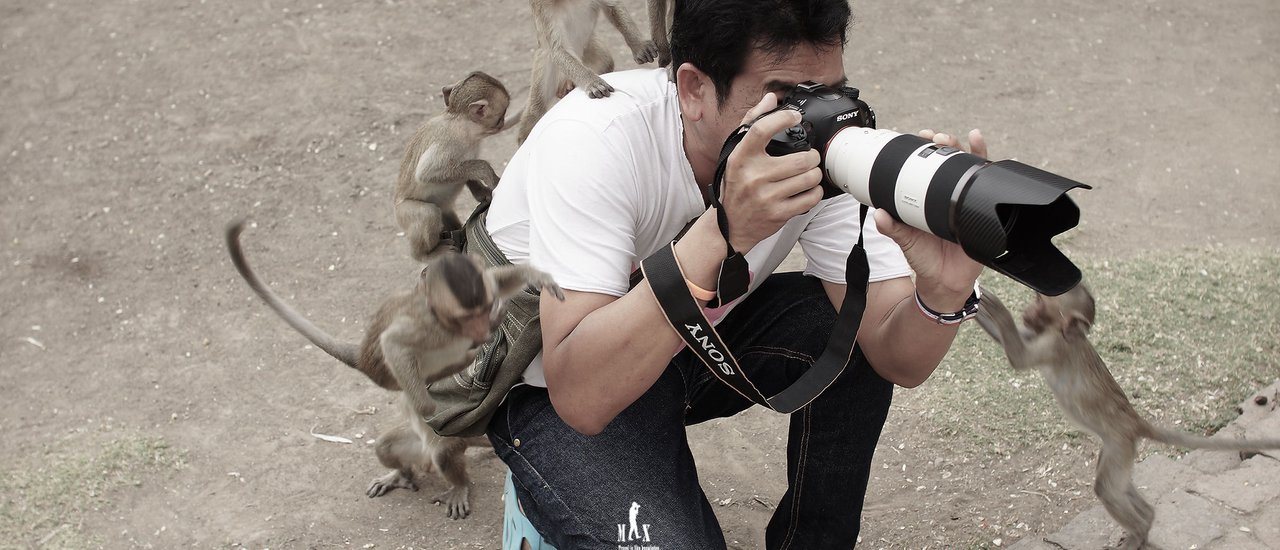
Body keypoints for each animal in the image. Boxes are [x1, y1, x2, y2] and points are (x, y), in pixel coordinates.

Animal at [225, 220, 566, 519]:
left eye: (484, 309)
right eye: (469, 316)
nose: (484, 328)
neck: (443, 318)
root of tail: (363, 357)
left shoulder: (483, 290)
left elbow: (499, 280)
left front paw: (536, 274)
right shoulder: (429, 327)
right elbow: (394, 344)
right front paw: (427, 405)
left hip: (444, 445)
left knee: (443, 454)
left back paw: (458, 483)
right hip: (413, 442)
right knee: (387, 446)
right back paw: (402, 472)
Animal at [395, 71, 511, 262]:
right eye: (501, 115)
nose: (503, 123)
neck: (461, 124)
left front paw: (481, 192)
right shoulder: (448, 142)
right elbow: (426, 173)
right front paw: (487, 173)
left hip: (446, 212)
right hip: (403, 214)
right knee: (427, 214)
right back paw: (425, 255)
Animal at [517, 0, 661, 143]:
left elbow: (612, 6)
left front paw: (638, 44)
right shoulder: (541, 8)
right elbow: (559, 49)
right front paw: (592, 82)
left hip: (589, 46)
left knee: (606, 62)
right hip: (545, 61)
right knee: (534, 111)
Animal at [975, 283, 1280, 549]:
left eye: (1040, 302)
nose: (1027, 310)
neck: (1064, 333)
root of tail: (1135, 422)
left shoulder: (1054, 345)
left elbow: (1018, 358)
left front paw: (995, 307)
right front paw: (976, 310)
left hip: (1119, 445)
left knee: (1107, 488)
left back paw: (1139, 531)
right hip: (1117, 449)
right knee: (1117, 485)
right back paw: (1148, 518)